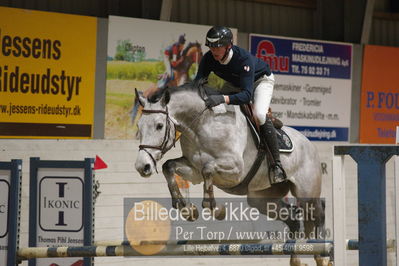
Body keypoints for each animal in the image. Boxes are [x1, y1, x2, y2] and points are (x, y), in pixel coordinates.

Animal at [134, 83, 328, 266]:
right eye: (139, 127)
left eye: (159, 126)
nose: (142, 166)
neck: (202, 125)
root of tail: (308, 142)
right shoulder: (194, 170)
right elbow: (169, 166)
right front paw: (187, 210)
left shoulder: (236, 169)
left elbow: (208, 169)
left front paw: (216, 210)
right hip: (261, 198)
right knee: (293, 219)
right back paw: (296, 259)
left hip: (306, 192)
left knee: (318, 213)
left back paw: (323, 257)